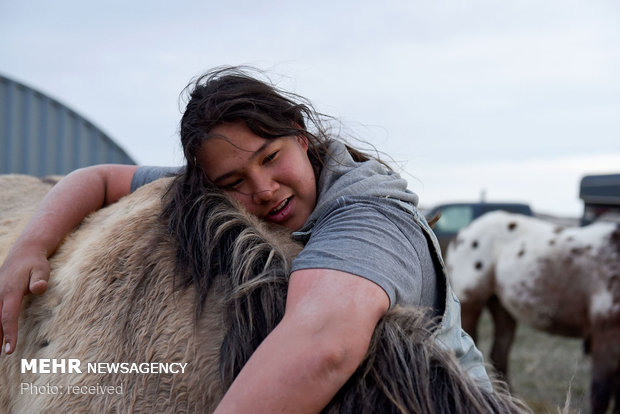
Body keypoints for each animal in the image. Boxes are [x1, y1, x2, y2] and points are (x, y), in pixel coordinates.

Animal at [446, 210, 620, 414]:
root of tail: (462, 233)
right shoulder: (606, 333)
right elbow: (601, 395)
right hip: (471, 304)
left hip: (502, 308)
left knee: (499, 356)